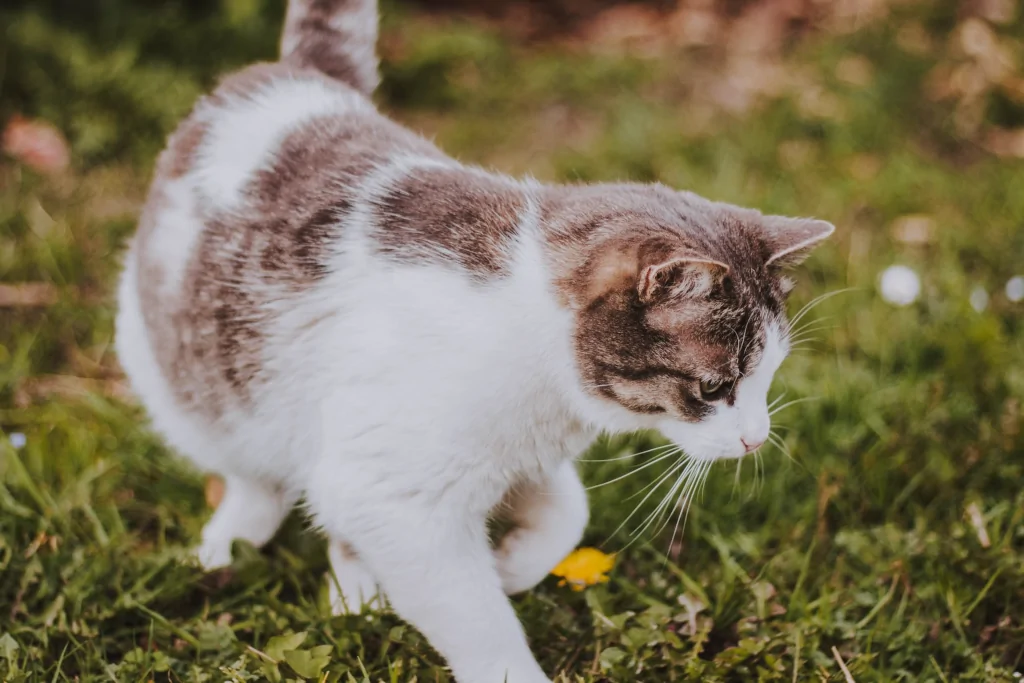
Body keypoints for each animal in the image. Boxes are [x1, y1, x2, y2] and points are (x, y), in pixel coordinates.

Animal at [114, 1, 831, 683]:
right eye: (715, 387)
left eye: (768, 377)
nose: (757, 439)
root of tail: (295, 74)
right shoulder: (401, 499)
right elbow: (475, 617)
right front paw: (508, 652)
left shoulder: (517, 459)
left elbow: (566, 515)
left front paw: (510, 566)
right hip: (195, 384)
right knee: (253, 475)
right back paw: (232, 544)